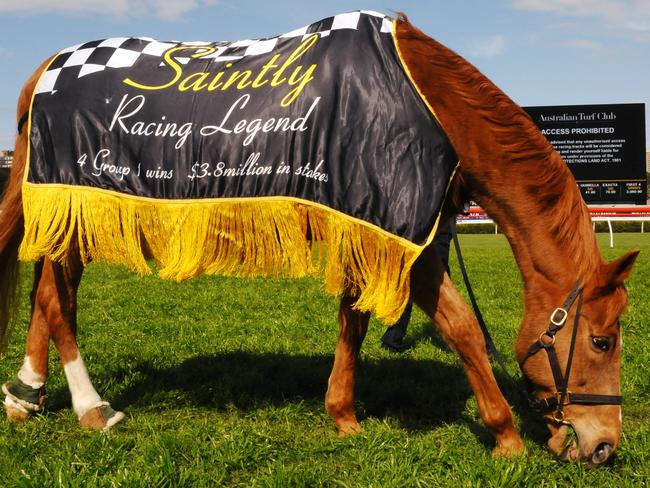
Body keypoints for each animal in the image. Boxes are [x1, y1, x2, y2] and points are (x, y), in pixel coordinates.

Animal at [0, 15, 636, 466]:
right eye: (602, 341)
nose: (604, 446)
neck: (430, 104)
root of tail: (46, 72)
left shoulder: (371, 223)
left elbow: (354, 317)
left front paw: (344, 414)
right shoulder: (405, 237)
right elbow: (462, 331)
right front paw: (505, 436)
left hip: (70, 213)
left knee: (49, 294)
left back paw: (26, 393)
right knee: (57, 301)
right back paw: (91, 408)